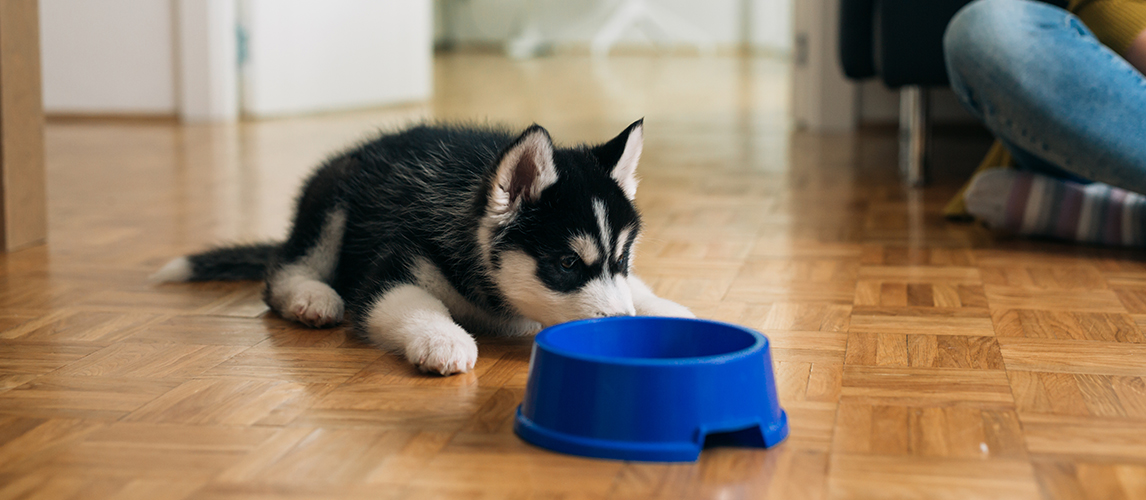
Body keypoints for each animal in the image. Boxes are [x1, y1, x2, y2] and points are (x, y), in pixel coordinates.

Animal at [151, 119, 687, 373]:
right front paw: (443, 339)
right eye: (568, 263)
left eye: (622, 259)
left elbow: (638, 290)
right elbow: (411, 302)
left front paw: (666, 308)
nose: (621, 326)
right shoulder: (392, 270)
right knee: (286, 268)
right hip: (333, 197)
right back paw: (312, 296)